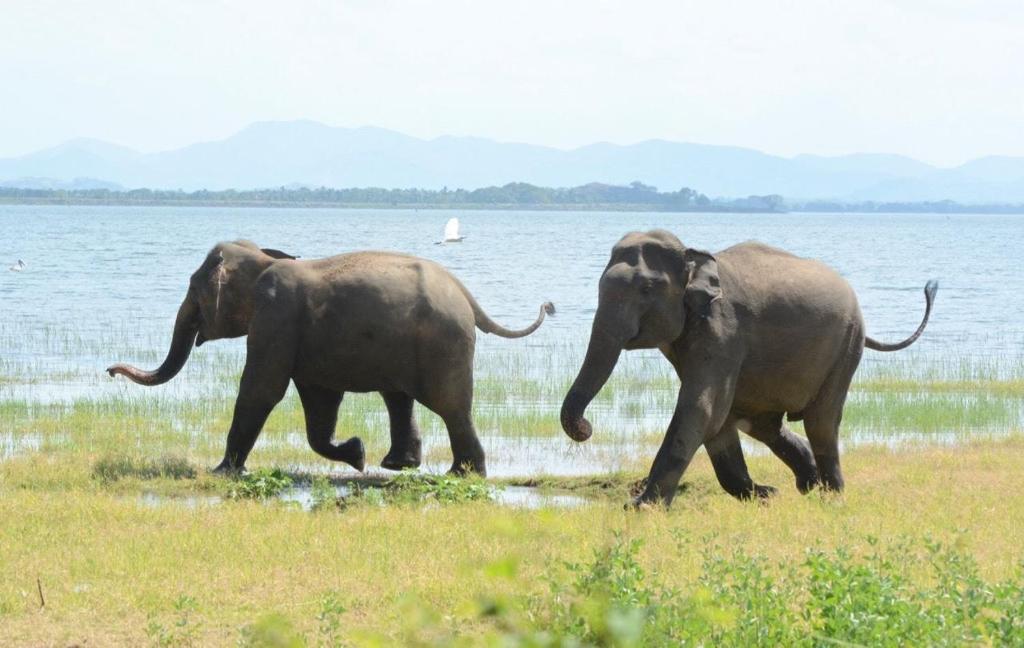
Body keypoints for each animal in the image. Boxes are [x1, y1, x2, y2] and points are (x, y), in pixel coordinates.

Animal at [109, 240, 557, 472]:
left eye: (194, 292)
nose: (111, 371)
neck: (264, 260)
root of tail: (466, 295)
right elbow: (318, 399)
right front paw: (356, 455)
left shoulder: (277, 317)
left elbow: (261, 390)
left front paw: (223, 472)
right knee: (401, 399)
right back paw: (397, 466)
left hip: (442, 343)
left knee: (449, 406)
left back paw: (462, 473)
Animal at [561, 230, 937, 507]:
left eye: (646, 288)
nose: (586, 428)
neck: (693, 256)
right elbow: (717, 418)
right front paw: (765, 495)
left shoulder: (723, 330)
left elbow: (703, 407)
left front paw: (641, 507)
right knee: (765, 424)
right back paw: (806, 485)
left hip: (846, 346)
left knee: (821, 422)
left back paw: (830, 496)